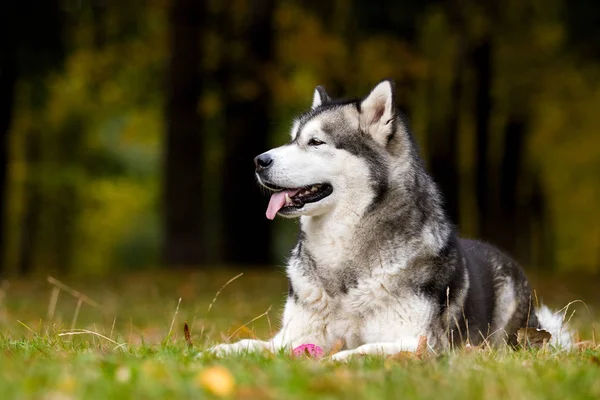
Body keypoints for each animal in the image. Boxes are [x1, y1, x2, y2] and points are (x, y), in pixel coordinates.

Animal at [211, 79, 572, 360]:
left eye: (315, 142)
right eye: (292, 139)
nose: (258, 160)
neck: (342, 257)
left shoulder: (421, 342)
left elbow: (358, 350)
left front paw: (336, 360)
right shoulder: (292, 337)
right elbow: (249, 344)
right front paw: (211, 352)